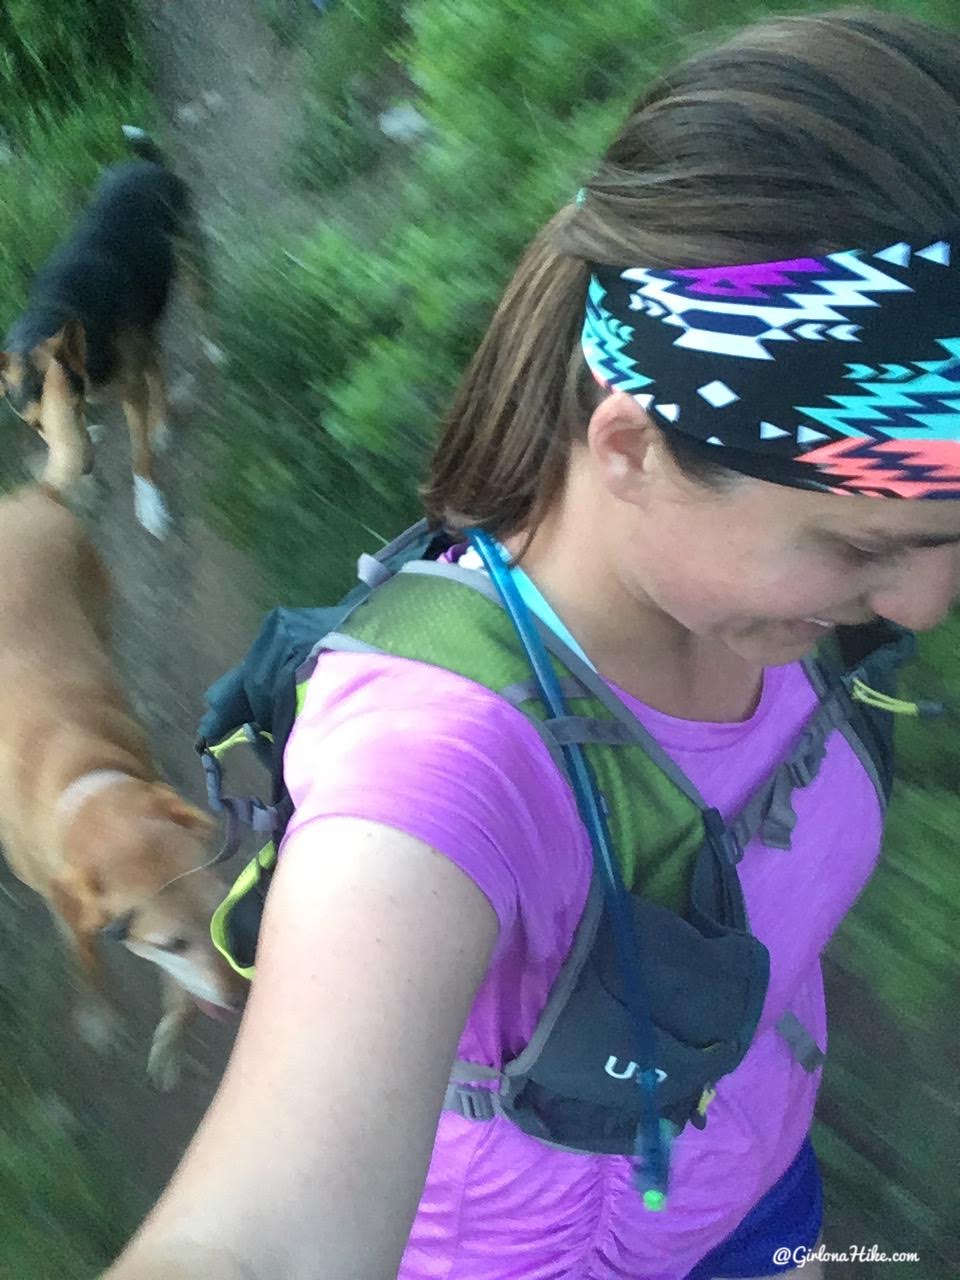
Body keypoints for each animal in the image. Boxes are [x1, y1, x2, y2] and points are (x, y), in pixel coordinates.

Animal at [0, 483, 244, 1085]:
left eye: (218, 905)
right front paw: (100, 1019)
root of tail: (34, 495)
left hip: (99, 609)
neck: (84, 783)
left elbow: (180, 994)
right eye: (170, 942)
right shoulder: (68, 912)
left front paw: (173, 1041)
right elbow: (87, 964)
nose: (238, 997)